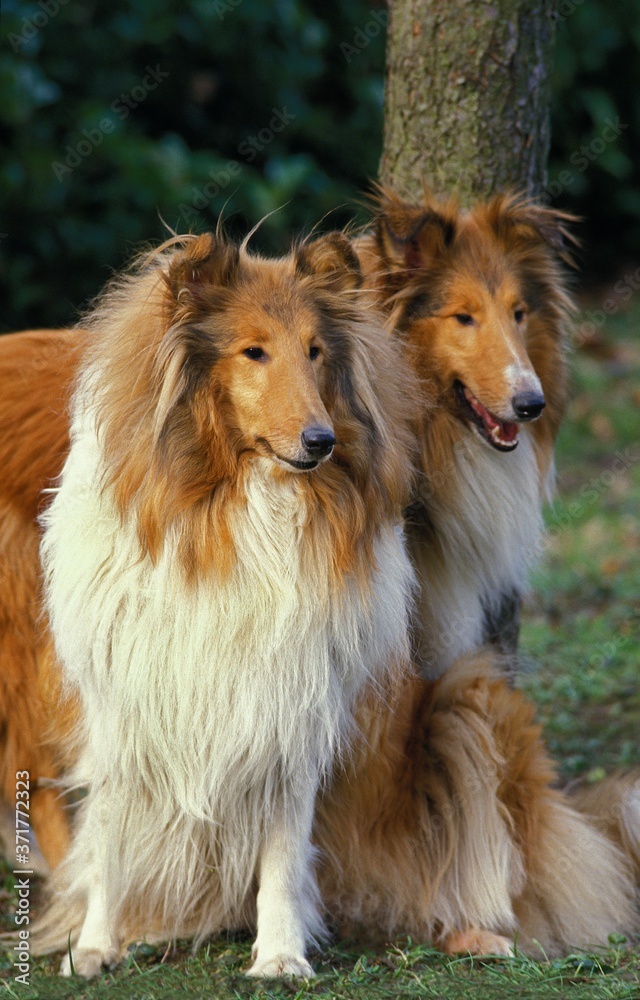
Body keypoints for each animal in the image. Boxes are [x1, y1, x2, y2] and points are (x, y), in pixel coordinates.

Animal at [35, 232, 418, 976]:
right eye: (253, 351)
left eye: (315, 350)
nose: (322, 442)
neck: (244, 501)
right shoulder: (126, 704)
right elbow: (110, 836)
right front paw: (94, 948)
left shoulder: (289, 707)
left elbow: (282, 850)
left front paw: (281, 957)